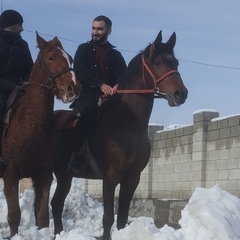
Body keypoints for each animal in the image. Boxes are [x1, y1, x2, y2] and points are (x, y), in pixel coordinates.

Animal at [0, 32, 80, 237]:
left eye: (70, 58)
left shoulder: (44, 176)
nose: (73, 88)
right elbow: (14, 215)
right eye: (50, 57)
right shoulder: (11, 174)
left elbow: (42, 216)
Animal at [50, 30, 188, 240]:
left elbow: (122, 218)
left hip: (65, 176)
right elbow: (108, 218)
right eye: (158, 63)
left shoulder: (132, 178)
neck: (127, 124)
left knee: (57, 204)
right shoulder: (110, 177)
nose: (181, 94)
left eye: (176, 63)